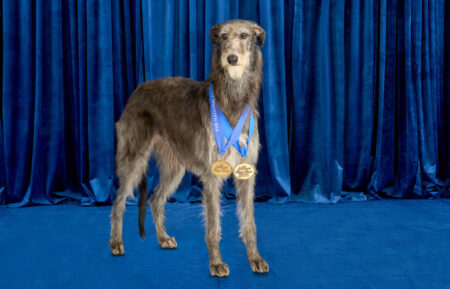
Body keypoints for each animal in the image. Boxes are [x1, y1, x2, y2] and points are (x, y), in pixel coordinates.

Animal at [110, 19, 268, 276]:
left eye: (245, 35)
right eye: (223, 37)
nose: (231, 58)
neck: (232, 101)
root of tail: (137, 90)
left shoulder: (246, 170)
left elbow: (249, 221)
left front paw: (255, 259)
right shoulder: (213, 173)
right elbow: (213, 225)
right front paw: (216, 264)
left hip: (174, 166)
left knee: (155, 199)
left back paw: (163, 238)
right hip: (134, 157)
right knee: (120, 199)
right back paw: (115, 242)